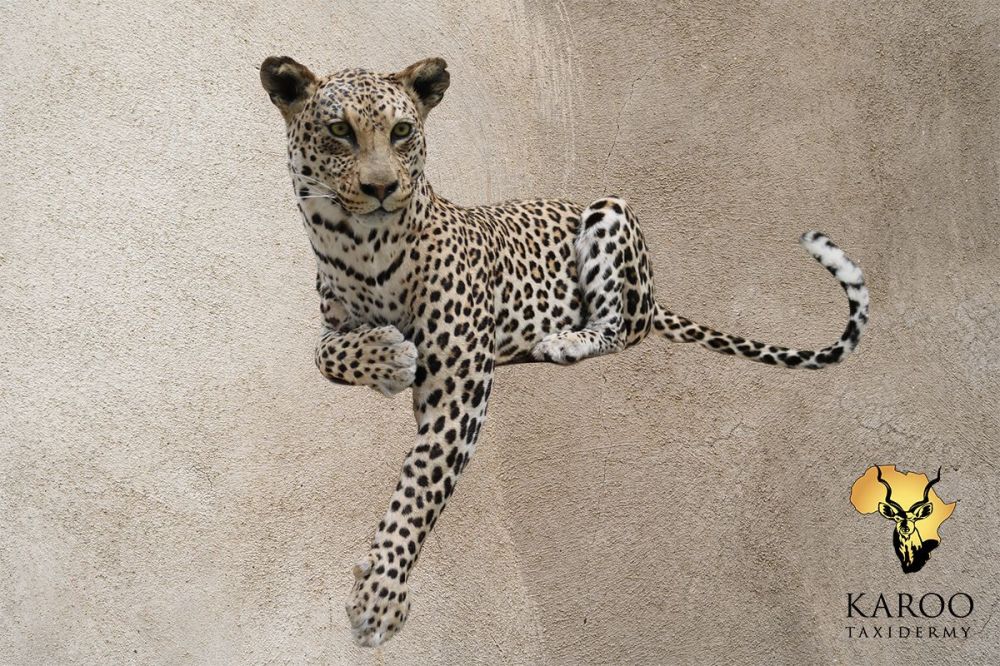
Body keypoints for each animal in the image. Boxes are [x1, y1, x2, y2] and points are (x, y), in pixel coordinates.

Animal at [259, 55, 870, 647]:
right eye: (340, 130)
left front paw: (379, 599)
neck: (359, 248)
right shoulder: (330, 326)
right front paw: (388, 357)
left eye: (402, 131)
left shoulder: (460, 387)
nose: (384, 187)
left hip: (610, 211)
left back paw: (562, 341)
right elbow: (325, 355)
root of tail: (655, 295)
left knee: (621, 326)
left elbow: (419, 486)